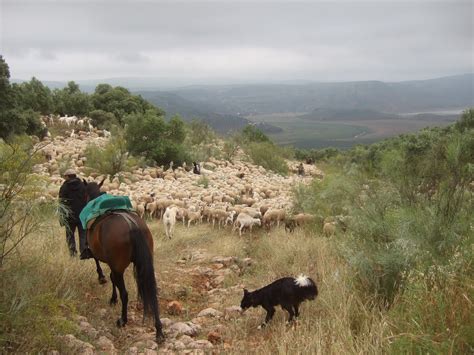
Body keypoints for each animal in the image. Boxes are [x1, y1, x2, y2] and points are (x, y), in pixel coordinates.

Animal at [84, 181, 166, 344]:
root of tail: (132, 224)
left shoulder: (105, 258)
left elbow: (103, 269)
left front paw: (103, 281)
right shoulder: (113, 264)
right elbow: (112, 278)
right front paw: (112, 298)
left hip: (119, 266)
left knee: (125, 293)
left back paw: (123, 320)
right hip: (144, 263)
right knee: (151, 291)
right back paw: (159, 330)